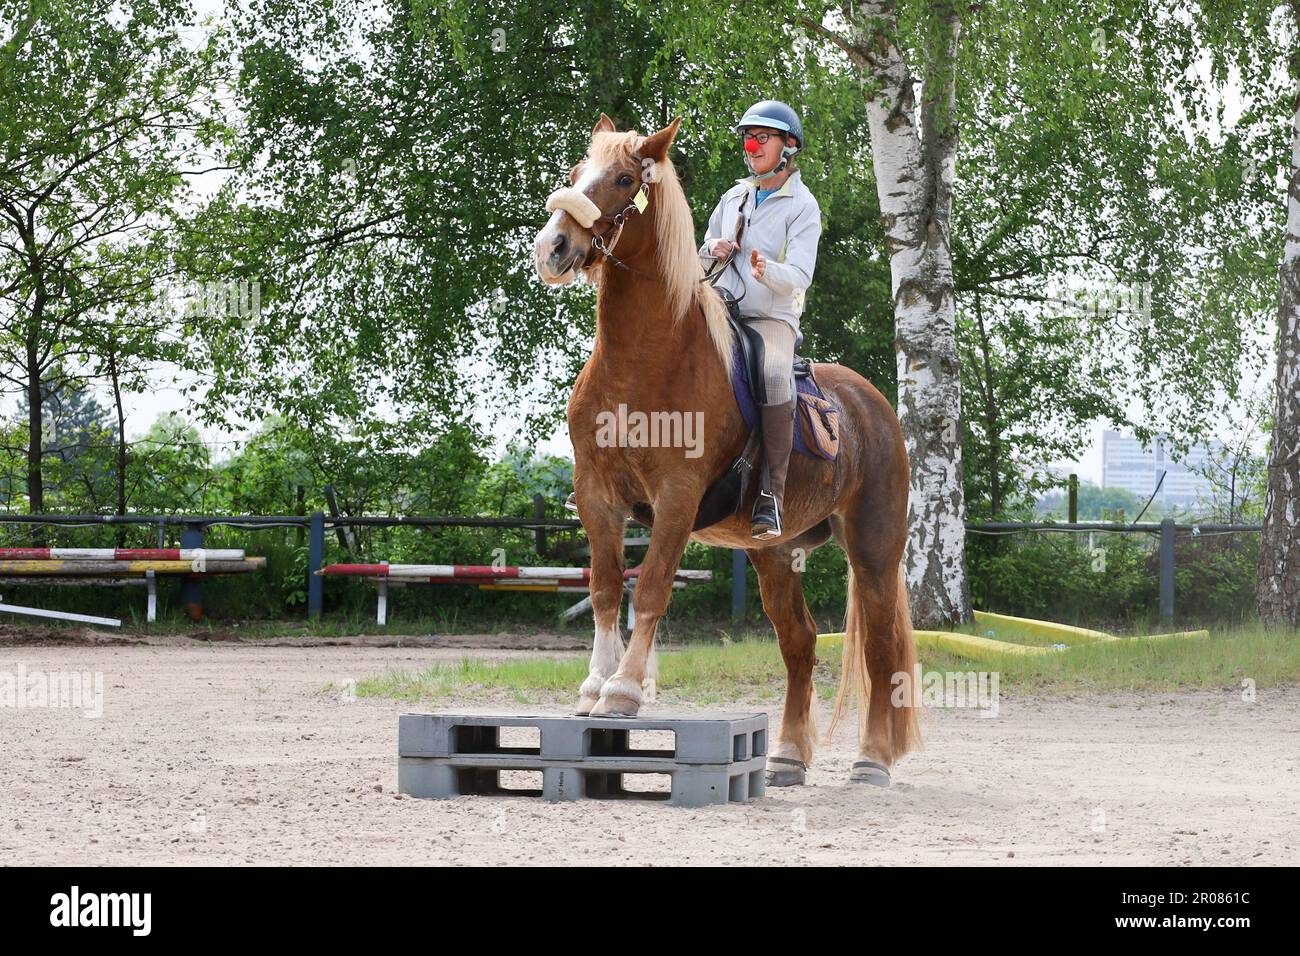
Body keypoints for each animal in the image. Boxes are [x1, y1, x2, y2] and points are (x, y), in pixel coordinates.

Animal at [532, 113, 920, 786]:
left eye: (625, 179)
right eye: (577, 172)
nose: (553, 246)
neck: (645, 359)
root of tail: (874, 406)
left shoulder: (677, 497)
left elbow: (652, 587)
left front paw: (624, 691)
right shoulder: (597, 494)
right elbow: (605, 588)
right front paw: (593, 685)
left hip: (874, 548)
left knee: (879, 645)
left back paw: (872, 759)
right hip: (775, 554)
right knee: (799, 643)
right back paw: (787, 755)